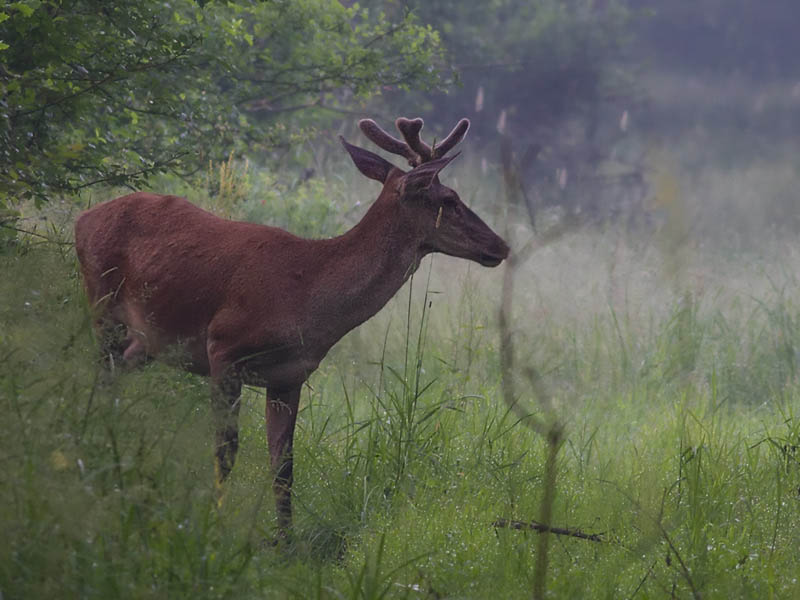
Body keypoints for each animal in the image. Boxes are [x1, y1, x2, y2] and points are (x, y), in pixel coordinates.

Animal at [76, 115, 512, 536]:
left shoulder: (290, 376)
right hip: (102, 303)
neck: (305, 295)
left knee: (114, 378)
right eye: (449, 199)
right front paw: (214, 523)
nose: (501, 245)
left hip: (146, 340)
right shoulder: (224, 348)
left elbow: (284, 468)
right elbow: (225, 450)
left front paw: (286, 544)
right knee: (100, 375)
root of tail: (82, 218)